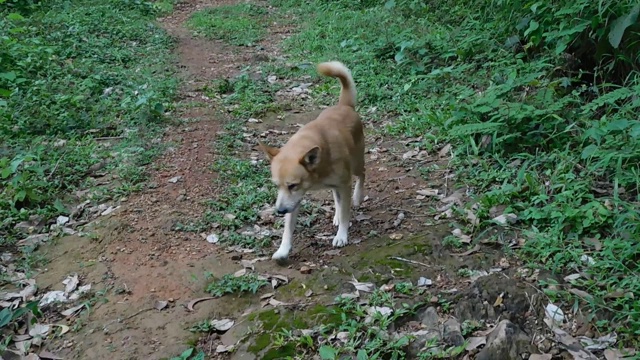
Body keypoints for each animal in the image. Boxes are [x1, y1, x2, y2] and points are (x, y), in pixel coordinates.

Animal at [258, 62, 362, 262]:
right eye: (276, 186)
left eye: (292, 185)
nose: (279, 211)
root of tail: (344, 106)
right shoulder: (292, 202)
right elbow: (287, 229)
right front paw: (283, 249)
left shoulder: (344, 184)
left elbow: (346, 212)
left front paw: (342, 235)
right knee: (336, 197)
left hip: (357, 163)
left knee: (362, 177)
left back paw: (358, 196)